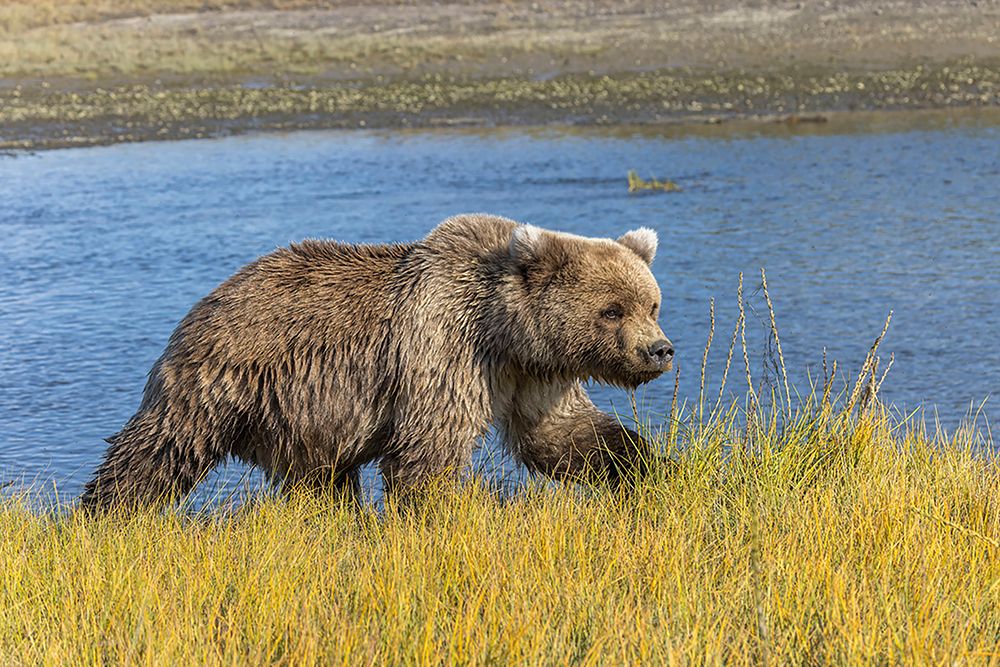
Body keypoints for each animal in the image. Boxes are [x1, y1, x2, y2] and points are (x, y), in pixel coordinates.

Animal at [79, 214, 673, 509]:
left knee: (320, 479)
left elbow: (560, 434)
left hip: (303, 418)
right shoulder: (447, 353)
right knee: (159, 450)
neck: (506, 334)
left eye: (651, 304)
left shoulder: (532, 376)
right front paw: (441, 516)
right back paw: (106, 514)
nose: (660, 350)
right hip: (224, 376)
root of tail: (207, 299)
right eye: (612, 310)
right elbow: (429, 452)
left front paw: (648, 466)